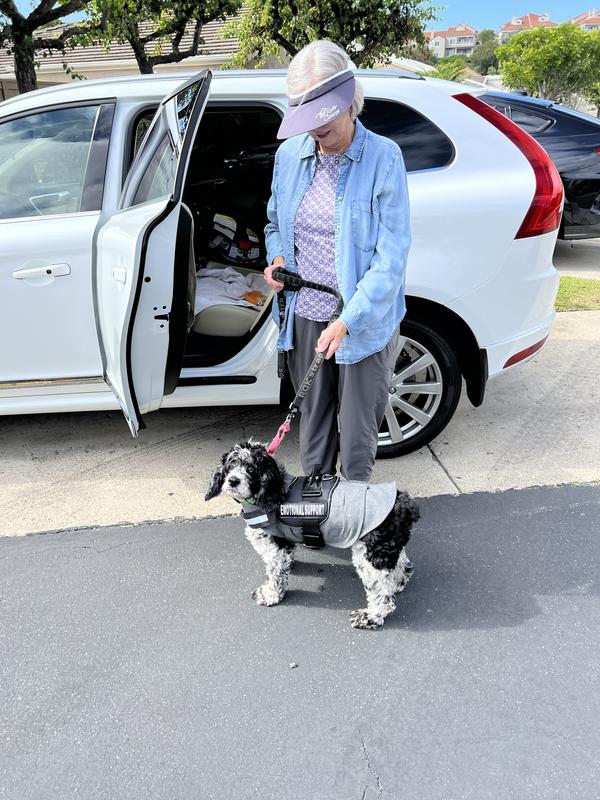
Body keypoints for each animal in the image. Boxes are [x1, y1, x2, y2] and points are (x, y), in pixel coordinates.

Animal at [204, 440, 420, 628]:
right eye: (230, 465)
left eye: (251, 469)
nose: (233, 480)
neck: (275, 490)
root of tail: (403, 503)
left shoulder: (275, 546)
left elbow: (275, 574)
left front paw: (270, 595)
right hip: (387, 546)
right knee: (402, 566)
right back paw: (398, 583)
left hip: (369, 556)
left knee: (384, 596)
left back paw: (370, 617)